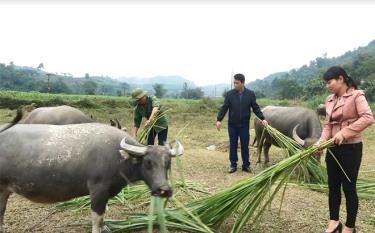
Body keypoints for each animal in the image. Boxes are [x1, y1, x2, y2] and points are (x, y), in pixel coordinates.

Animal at [0, 123, 184, 232]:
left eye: (168, 164)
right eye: (148, 162)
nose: (164, 189)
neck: (117, 157)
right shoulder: (98, 190)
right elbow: (98, 219)